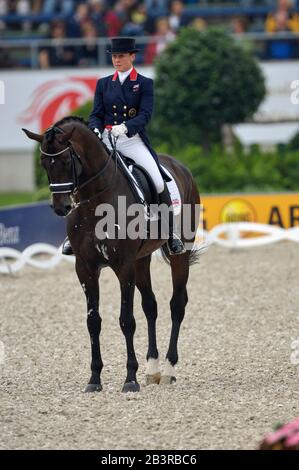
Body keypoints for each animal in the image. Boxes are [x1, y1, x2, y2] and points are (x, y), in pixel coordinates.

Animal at [22, 117, 202, 392]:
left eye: (66, 161)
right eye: (43, 162)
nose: (61, 207)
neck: (95, 202)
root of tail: (180, 167)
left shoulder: (123, 266)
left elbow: (126, 320)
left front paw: (130, 380)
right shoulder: (85, 268)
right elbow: (93, 322)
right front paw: (94, 379)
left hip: (179, 255)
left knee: (177, 304)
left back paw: (169, 370)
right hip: (141, 260)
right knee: (150, 306)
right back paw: (153, 370)